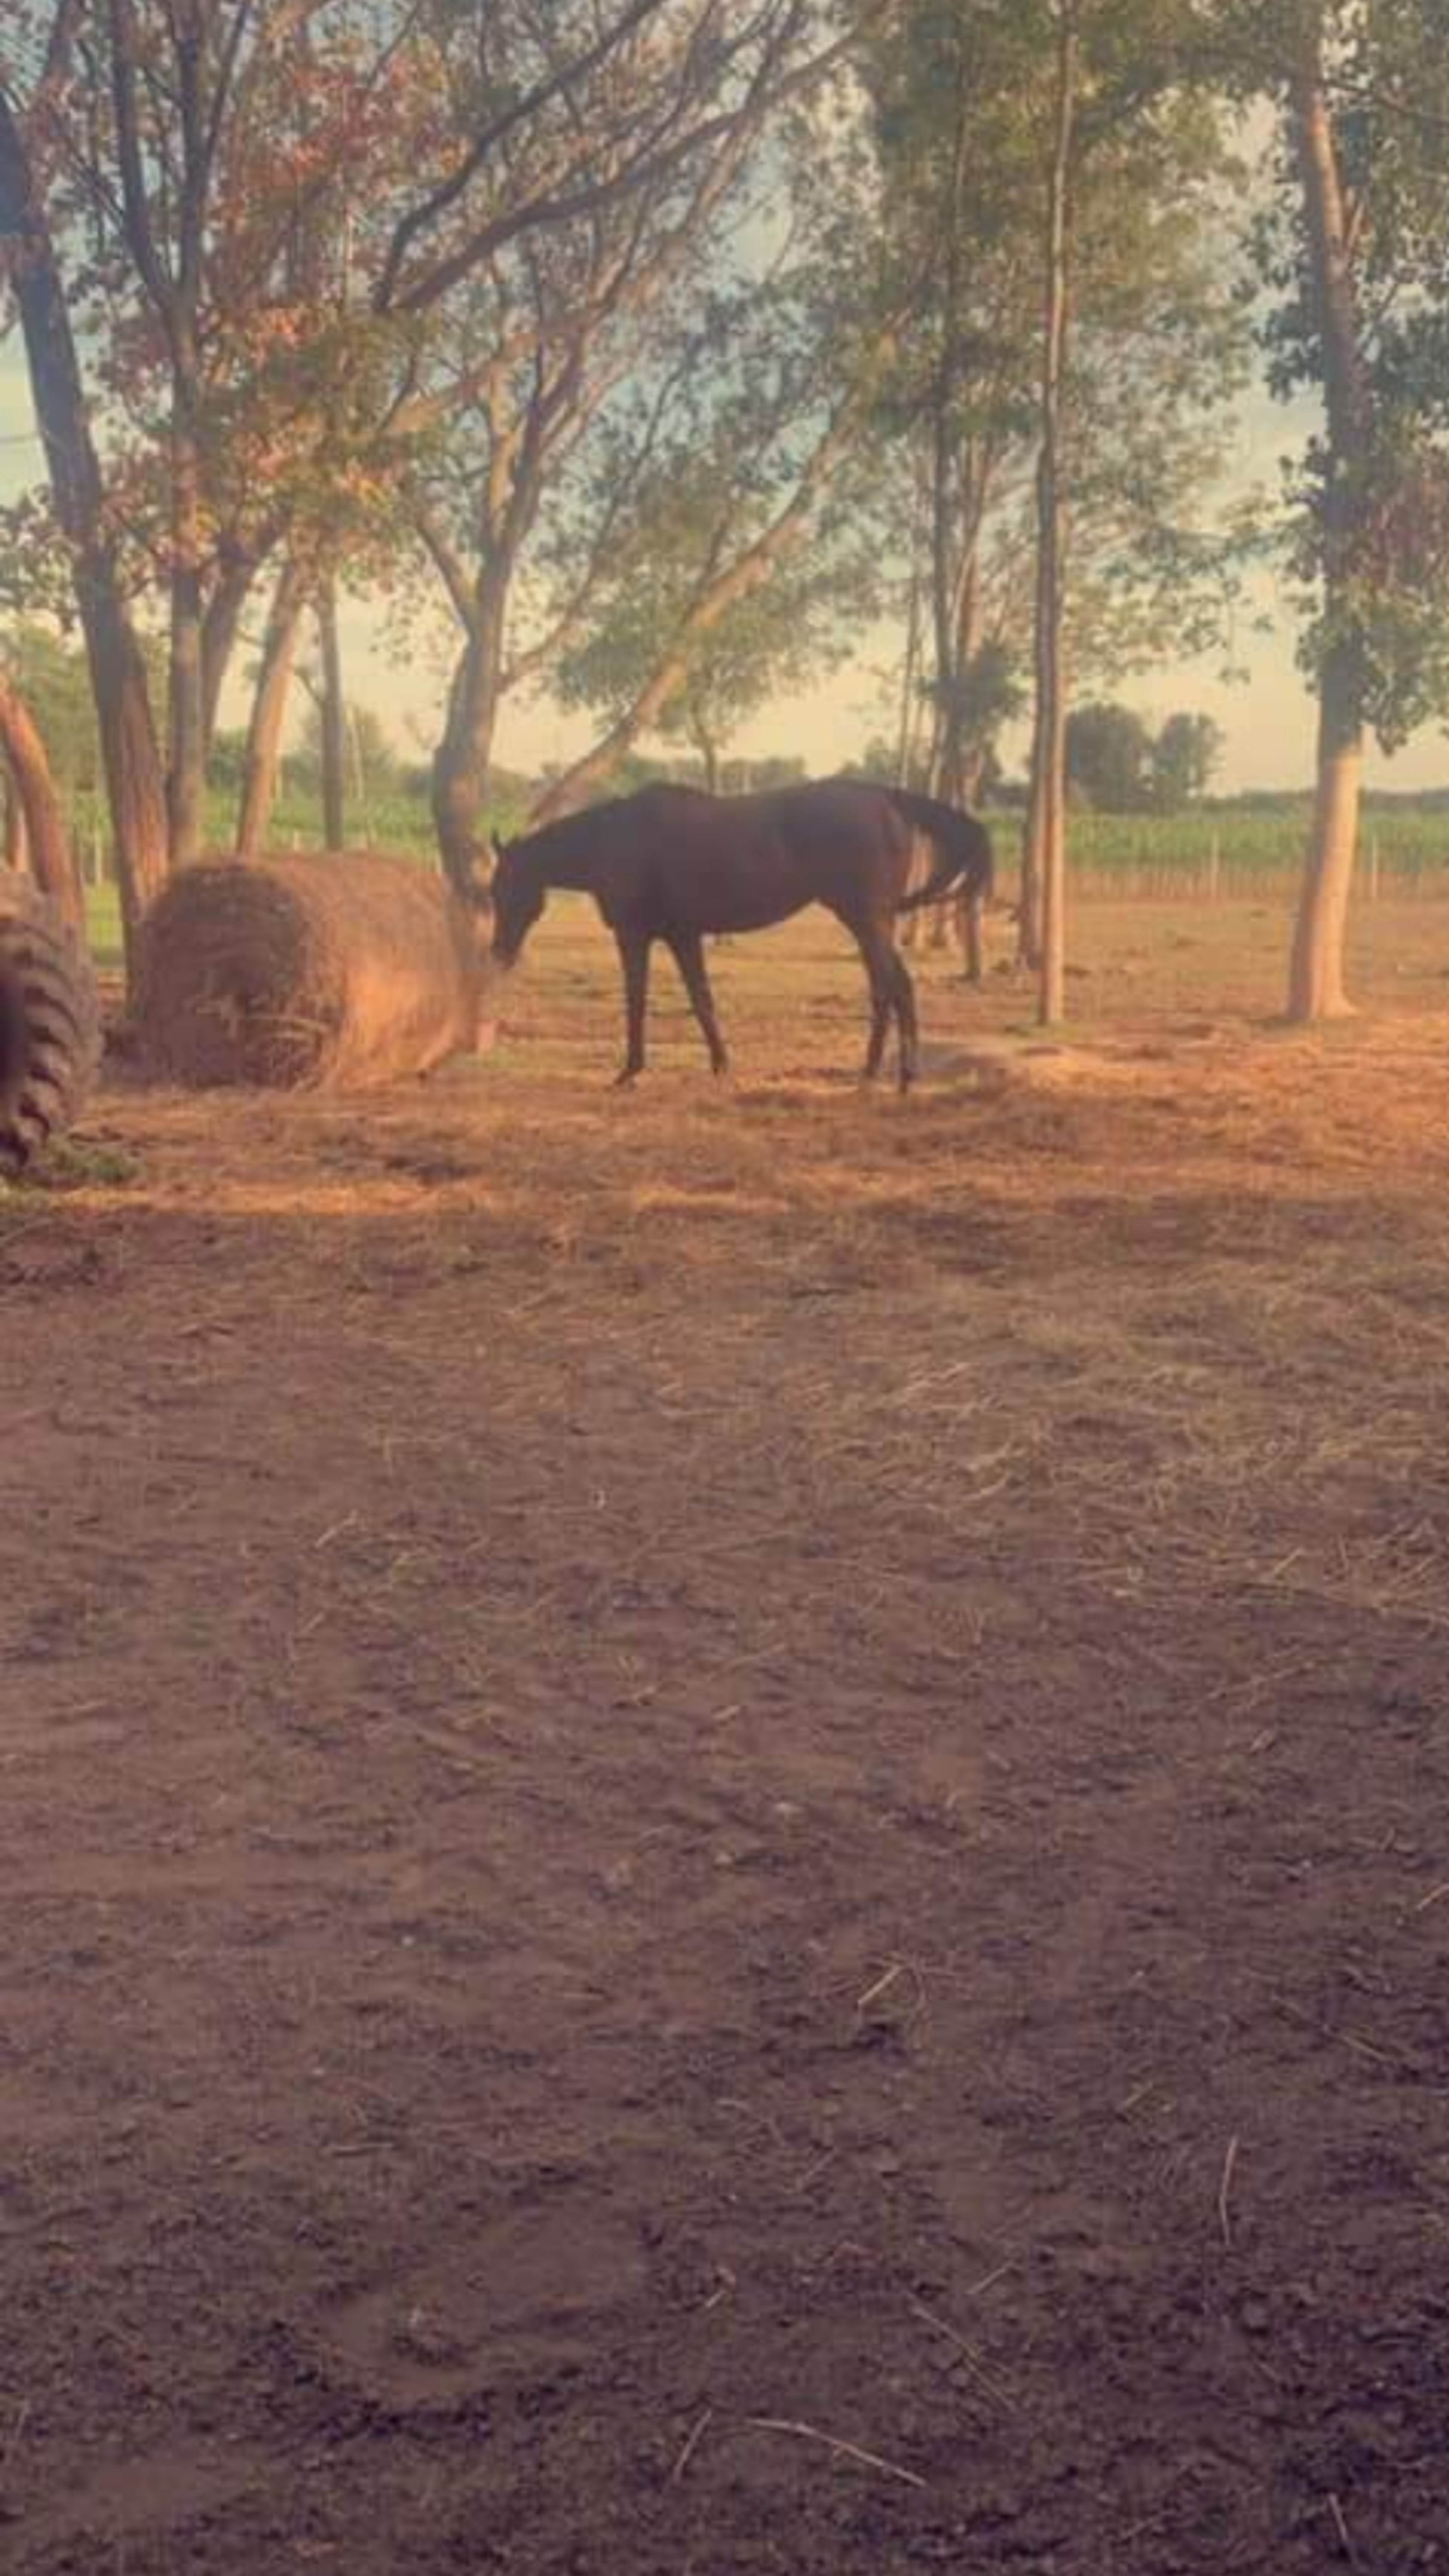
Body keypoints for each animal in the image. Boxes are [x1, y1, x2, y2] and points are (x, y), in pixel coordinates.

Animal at [487, 776, 993, 1091]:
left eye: (503, 887)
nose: (499, 953)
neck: (615, 840)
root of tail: (885, 797)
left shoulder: (635, 936)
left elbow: (636, 1001)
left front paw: (629, 1072)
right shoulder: (683, 936)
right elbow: (702, 1001)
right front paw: (721, 1066)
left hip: (867, 920)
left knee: (897, 988)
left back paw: (901, 1077)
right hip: (870, 923)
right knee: (884, 990)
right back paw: (871, 1074)